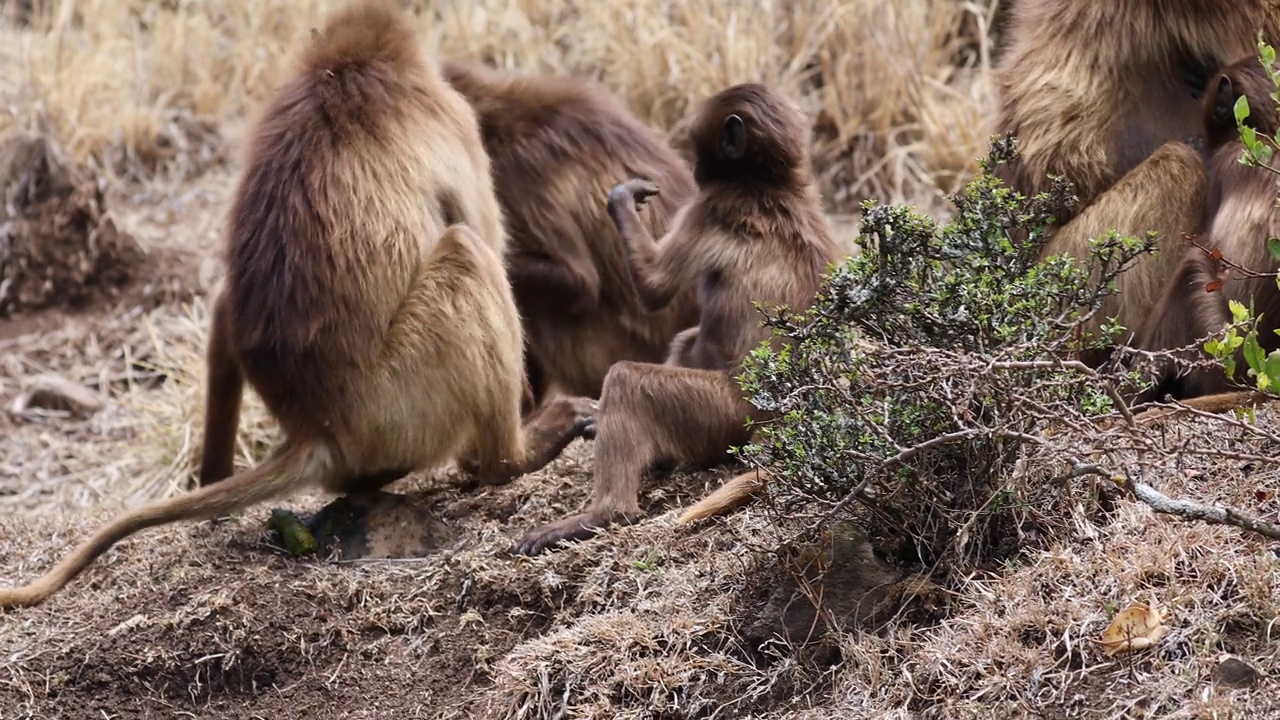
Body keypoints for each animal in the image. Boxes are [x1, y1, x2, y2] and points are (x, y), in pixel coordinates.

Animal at [0, 0, 588, 607]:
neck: (344, 71)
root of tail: (317, 426)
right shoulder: (454, 119)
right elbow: (483, 231)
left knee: (228, 307)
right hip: (403, 400)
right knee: (467, 252)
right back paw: (510, 456)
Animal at [514, 85, 844, 556]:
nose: (694, 171)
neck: (772, 184)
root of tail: (778, 415)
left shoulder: (705, 208)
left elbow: (653, 288)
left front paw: (621, 199)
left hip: (725, 412)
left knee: (628, 379)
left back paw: (604, 514)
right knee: (686, 341)